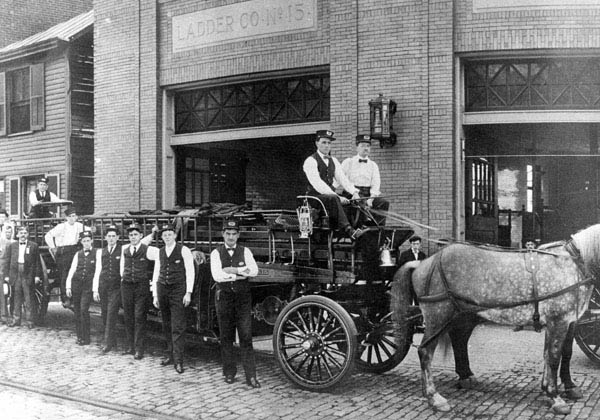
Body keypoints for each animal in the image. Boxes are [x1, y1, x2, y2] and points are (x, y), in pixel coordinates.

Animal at [391, 224, 600, 415]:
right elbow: (554, 357)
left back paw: (466, 378)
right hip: (438, 317)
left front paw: (567, 388)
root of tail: (423, 263)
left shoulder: (569, 322)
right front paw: (555, 397)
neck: (572, 263)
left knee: (459, 341)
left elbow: (563, 354)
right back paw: (435, 398)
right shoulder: (558, 321)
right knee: (425, 352)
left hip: (461, 317)